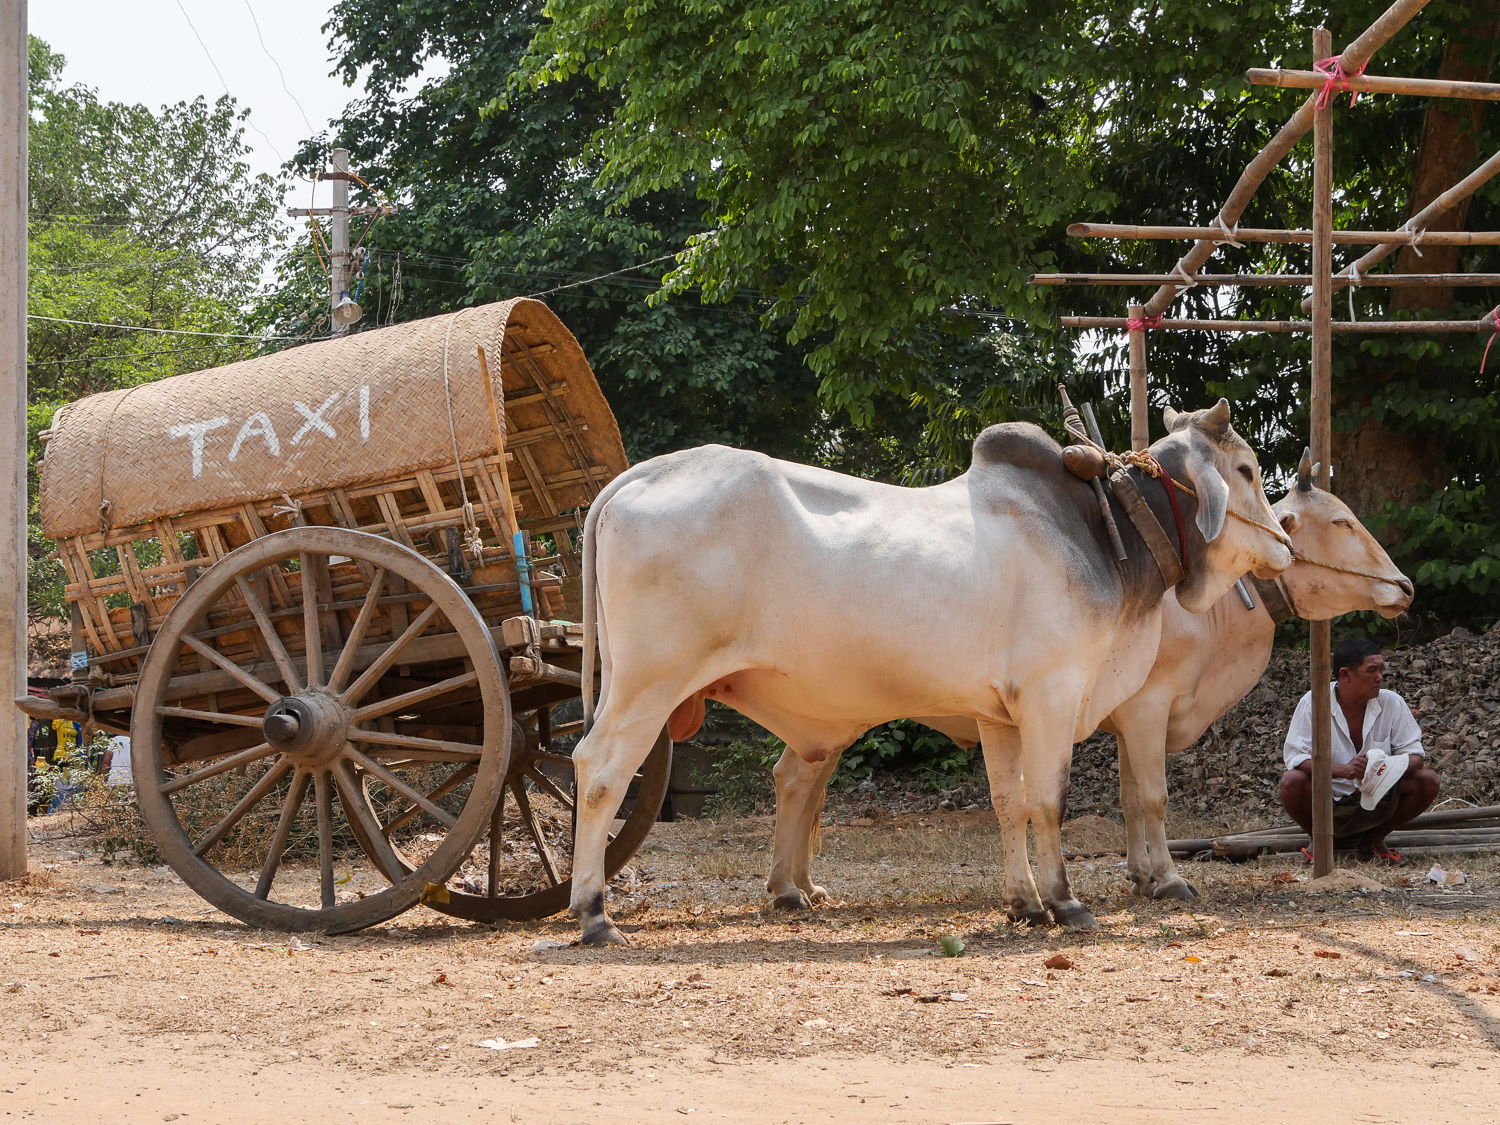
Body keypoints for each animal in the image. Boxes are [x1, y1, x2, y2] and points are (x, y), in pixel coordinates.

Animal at [568, 401, 1293, 945]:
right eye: (1247, 468)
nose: (1285, 545)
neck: (1101, 530)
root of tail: (636, 479)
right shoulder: (1054, 696)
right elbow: (1050, 800)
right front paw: (1066, 902)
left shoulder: (1000, 714)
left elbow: (1008, 803)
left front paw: (1024, 903)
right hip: (647, 683)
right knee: (599, 769)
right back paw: (593, 911)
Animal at [763, 450, 1413, 913]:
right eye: (1342, 521)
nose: (1404, 586)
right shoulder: (1148, 708)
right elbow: (1152, 797)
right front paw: (1168, 879)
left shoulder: (1126, 719)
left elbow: (1128, 798)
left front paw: (1140, 875)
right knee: (797, 782)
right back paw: (790, 890)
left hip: (832, 720)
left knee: (802, 783)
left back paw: (800, 886)